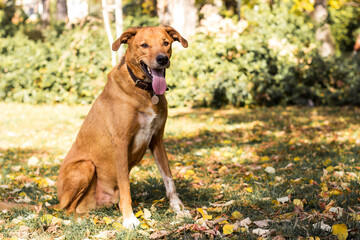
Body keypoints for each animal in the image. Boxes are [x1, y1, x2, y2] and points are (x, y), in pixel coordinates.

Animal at [56, 25, 188, 229]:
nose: (162, 59)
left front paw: (178, 208)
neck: (144, 91)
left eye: (166, 43)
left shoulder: (157, 139)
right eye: (144, 45)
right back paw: (82, 219)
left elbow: (168, 178)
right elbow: (126, 186)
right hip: (85, 166)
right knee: (67, 210)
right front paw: (129, 219)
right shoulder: (120, 143)